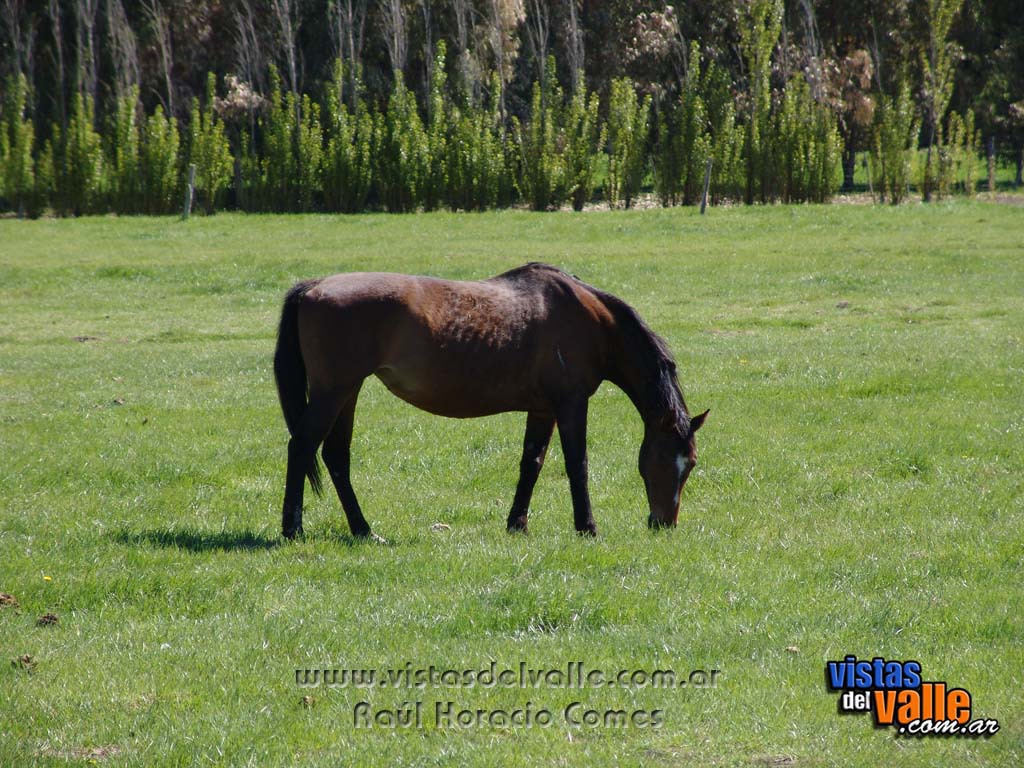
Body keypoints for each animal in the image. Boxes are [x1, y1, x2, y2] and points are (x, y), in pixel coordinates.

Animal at [272, 264, 704, 540]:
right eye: (674, 460)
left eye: (691, 463)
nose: (665, 523)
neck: (592, 321)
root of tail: (313, 286)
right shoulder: (571, 404)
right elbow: (577, 465)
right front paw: (587, 527)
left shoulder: (542, 409)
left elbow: (532, 464)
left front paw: (517, 524)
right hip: (333, 391)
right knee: (302, 447)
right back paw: (293, 529)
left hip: (348, 392)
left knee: (335, 457)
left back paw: (363, 530)